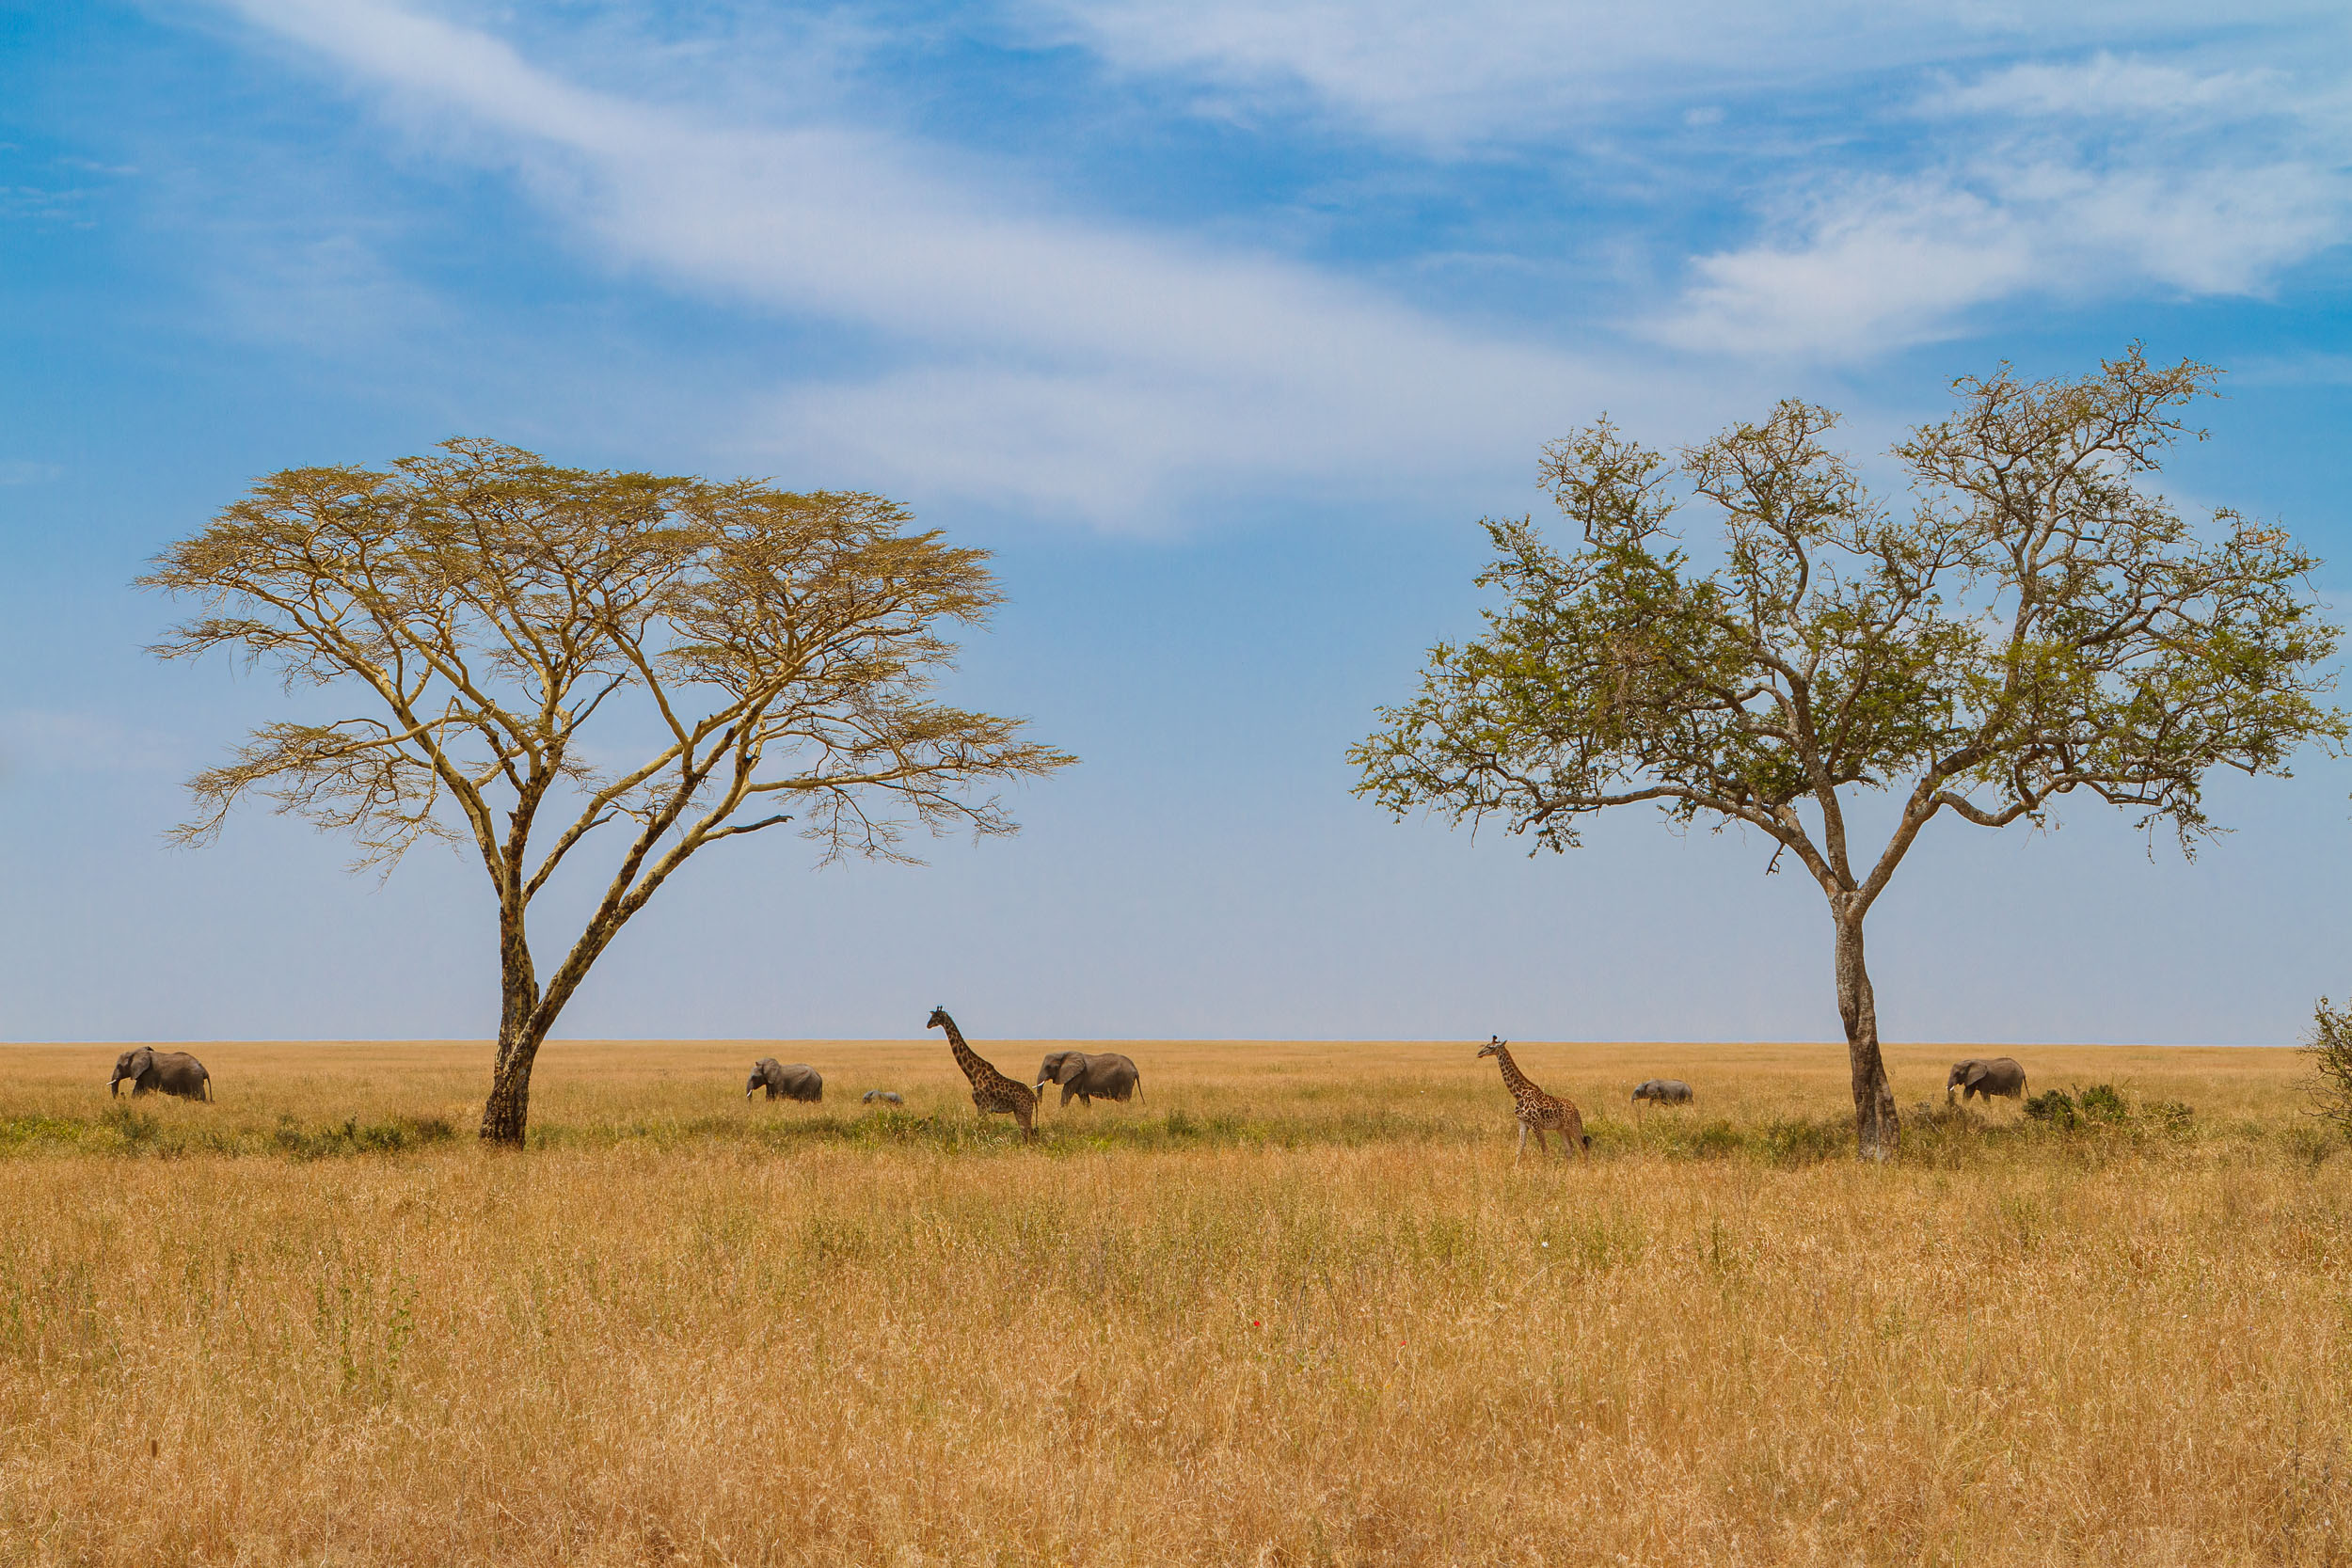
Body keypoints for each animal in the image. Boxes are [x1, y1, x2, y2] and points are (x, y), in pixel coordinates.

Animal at [927, 1006, 1038, 1140]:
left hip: (1024, 1112)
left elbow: (981, 1130)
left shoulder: (982, 1106)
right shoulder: (984, 1108)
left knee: (1029, 1136)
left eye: (937, 1017)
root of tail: (1034, 1097)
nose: (928, 1025)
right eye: (931, 1016)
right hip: (1019, 1112)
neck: (973, 1074)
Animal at [1477, 1036, 1590, 1161]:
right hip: (1561, 1128)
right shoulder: (1522, 1122)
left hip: (1571, 1126)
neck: (1519, 1094)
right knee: (1570, 1148)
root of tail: (1576, 1110)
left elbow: (1545, 1151)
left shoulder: (1535, 1124)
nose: (1479, 1053)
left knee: (1584, 1148)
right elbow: (1519, 1149)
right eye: (1486, 1045)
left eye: (1490, 1047)